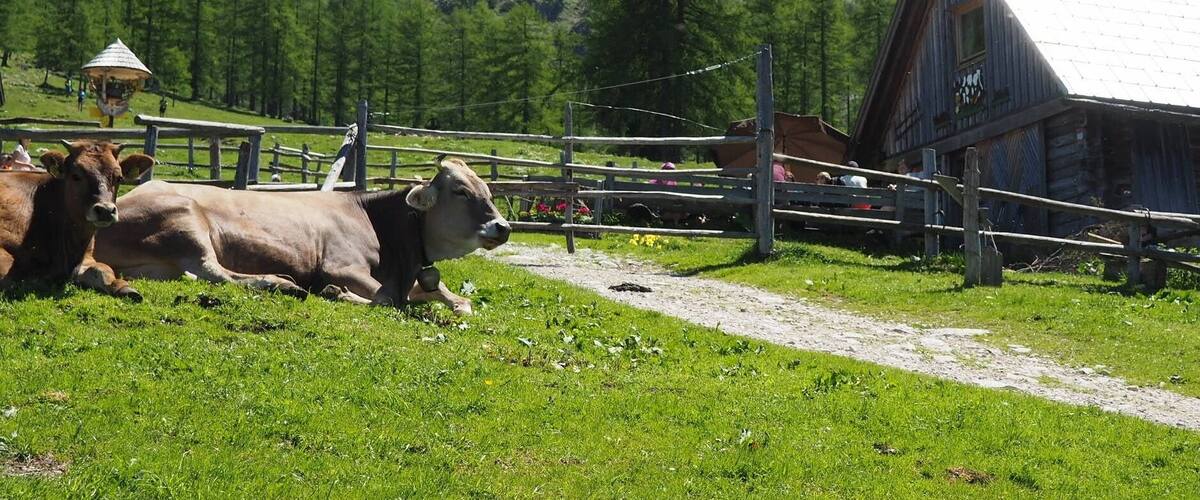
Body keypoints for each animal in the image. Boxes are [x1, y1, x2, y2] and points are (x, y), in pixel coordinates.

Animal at [0, 141, 153, 300]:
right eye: (76, 176)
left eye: (119, 178)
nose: (105, 210)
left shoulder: (85, 257)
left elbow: (103, 268)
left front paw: (124, 287)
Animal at [94, 156, 510, 314]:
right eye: (460, 191)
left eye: (487, 190)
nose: (503, 227)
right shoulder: (341, 265)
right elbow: (386, 298)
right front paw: (337, 293)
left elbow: (456, 300)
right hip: (186, 221)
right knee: (215, 272)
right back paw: (280, 283)